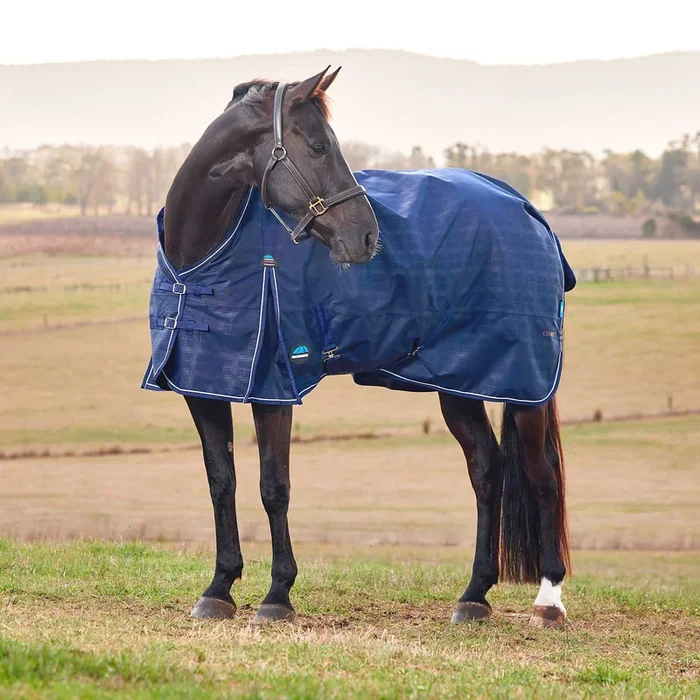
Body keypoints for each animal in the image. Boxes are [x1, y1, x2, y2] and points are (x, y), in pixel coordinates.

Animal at [143, 67, 572, 628]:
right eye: (319, 146)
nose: (368, 238)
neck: (201, 258)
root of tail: (529, 213)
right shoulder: (204, 385)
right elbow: (222, 481)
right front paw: (219, 589)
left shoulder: (274, 390)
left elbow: (273, 487)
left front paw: (277, 596)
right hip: (458, 382)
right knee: (487, 468)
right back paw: (474, 595)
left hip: (525, 383)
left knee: (542, 475)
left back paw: (549, 600)